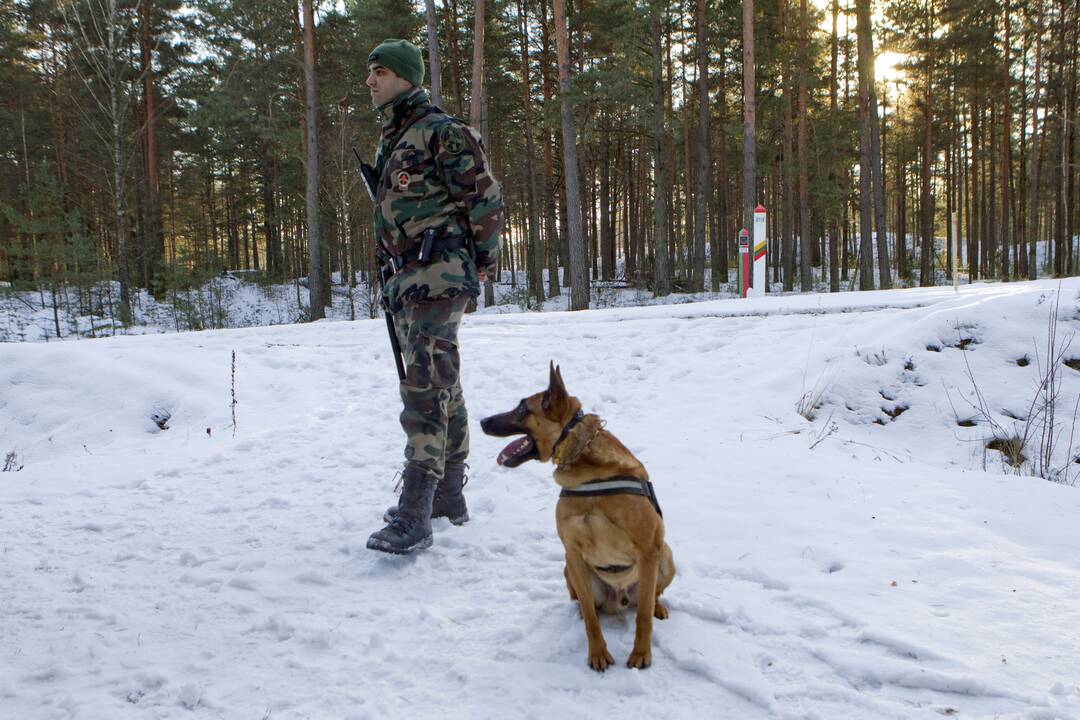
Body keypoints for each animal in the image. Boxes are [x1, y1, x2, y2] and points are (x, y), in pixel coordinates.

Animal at [477, 362, 669, 673]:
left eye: (521, 408)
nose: (482, 421)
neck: (586, 469)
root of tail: (620, 599)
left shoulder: (649, 550)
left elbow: (642, 616)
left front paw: (641, 654)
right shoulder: (573, 553)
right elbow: (591, 617)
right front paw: (598, 653)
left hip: (666, 556)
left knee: (650, 598)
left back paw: (658, 606)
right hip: (569, 569)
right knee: (586, 602)